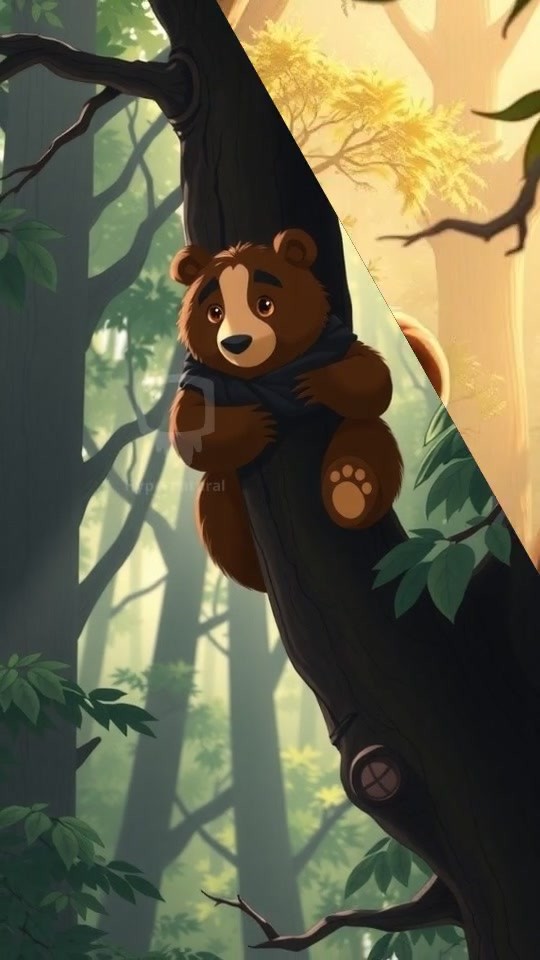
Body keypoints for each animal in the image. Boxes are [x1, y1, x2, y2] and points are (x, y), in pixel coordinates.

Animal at [168, 229, 448, 593]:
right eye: (214, 312)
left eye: (265, 304)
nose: (236, 343)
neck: (267, 374)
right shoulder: (203, 379)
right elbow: (188, 427)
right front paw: (258, 422)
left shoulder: (336, 343)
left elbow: (372, 378)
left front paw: (315, 382)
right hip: (223, 489)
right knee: (215, 504)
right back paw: (249, 564)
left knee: (368, 438)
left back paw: (351, 488)